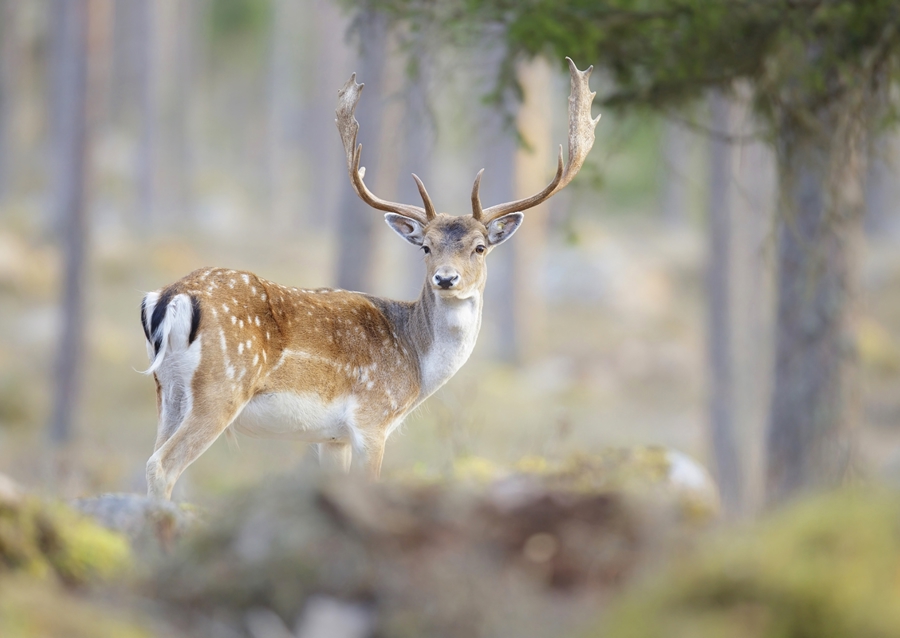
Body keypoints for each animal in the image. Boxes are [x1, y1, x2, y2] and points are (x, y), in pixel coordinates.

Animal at [140, 58, 599, 500]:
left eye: (480, 247)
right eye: (426, 246)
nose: (446, 279)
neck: (417, 364)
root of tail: (169, 299)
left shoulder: (332, 438)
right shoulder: (372, 420)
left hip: (168, 393)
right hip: (223, 385)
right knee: (162, 465)